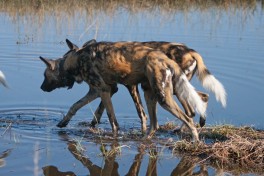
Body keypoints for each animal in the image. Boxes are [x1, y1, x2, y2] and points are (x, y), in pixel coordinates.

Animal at [39, 39, 206, 141]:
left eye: (45, 76)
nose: (41, 88)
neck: (76, 59)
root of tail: (165, 58)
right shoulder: (97, 91)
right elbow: (75, 106)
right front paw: (63, 122)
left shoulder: (105, 90)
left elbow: (111, 119)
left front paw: (113, 135)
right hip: (151, 94)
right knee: (156, 123)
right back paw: (144, 139)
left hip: (164, 97)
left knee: (189, 117)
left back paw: (195, 140)